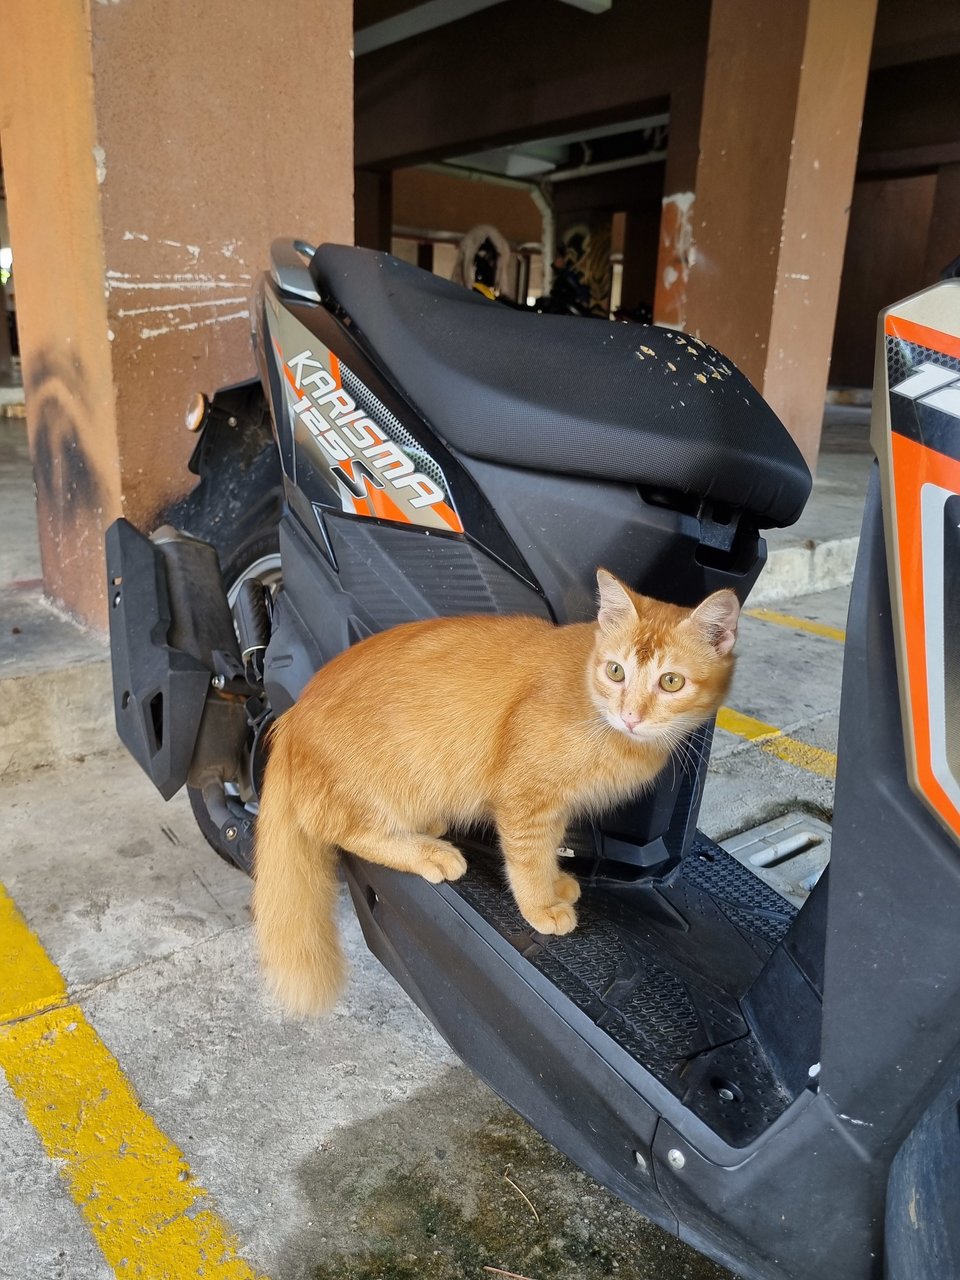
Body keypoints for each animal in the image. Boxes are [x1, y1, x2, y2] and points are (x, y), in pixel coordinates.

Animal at [252, 570, 742, 1008]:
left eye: (671, 681)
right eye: (616, 672)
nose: (631, 716)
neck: (593, 703)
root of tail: (291, 719)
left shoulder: (556, 804)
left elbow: (548, 849)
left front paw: (554, 883)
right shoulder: (525, 796)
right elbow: (527, 858)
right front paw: (540, 905)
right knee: (344, 831)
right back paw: (429, 852)